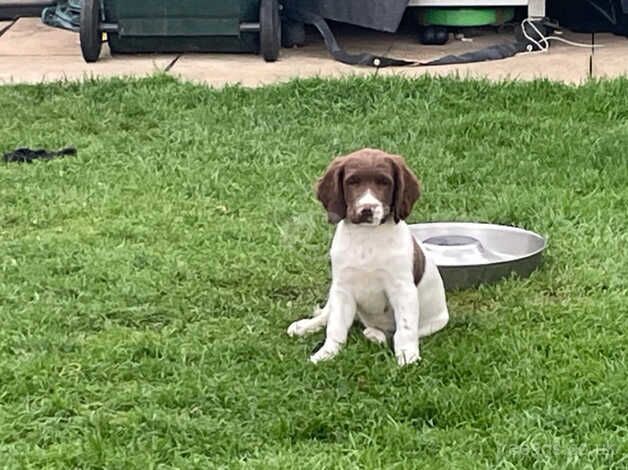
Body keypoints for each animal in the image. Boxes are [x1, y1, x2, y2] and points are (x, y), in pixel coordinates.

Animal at [288, 149, 448, 366]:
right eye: (352, 182)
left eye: (384, 182)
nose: (367, 209)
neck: (367, 236)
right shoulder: (343, 288)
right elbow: (335, 326)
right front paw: (327, 353)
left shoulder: (403, 290)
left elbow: (405, 329)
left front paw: (407, 356)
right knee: (328, 313)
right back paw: (306, 326)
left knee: (392, 333)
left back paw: (374, 334)